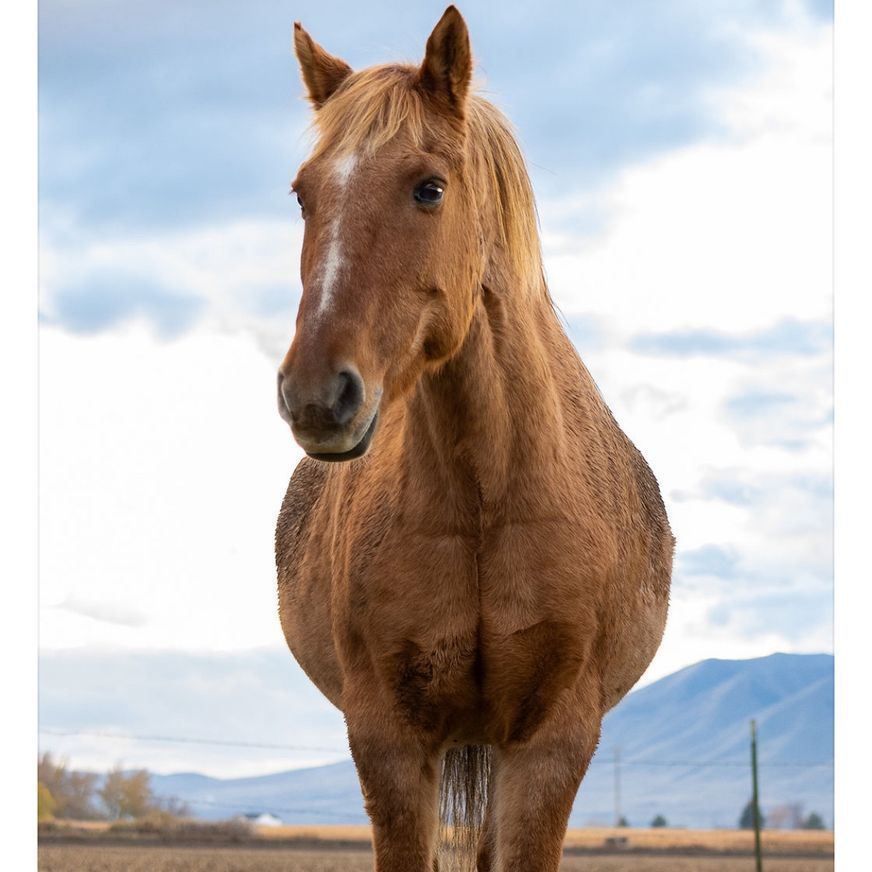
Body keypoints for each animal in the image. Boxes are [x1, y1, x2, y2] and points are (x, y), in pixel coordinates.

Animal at [275, 7, 673, 871]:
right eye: (304, 196)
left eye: (429, 188)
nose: (316, 396)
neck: (488, 496)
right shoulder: (389, 741)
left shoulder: (551, 745)